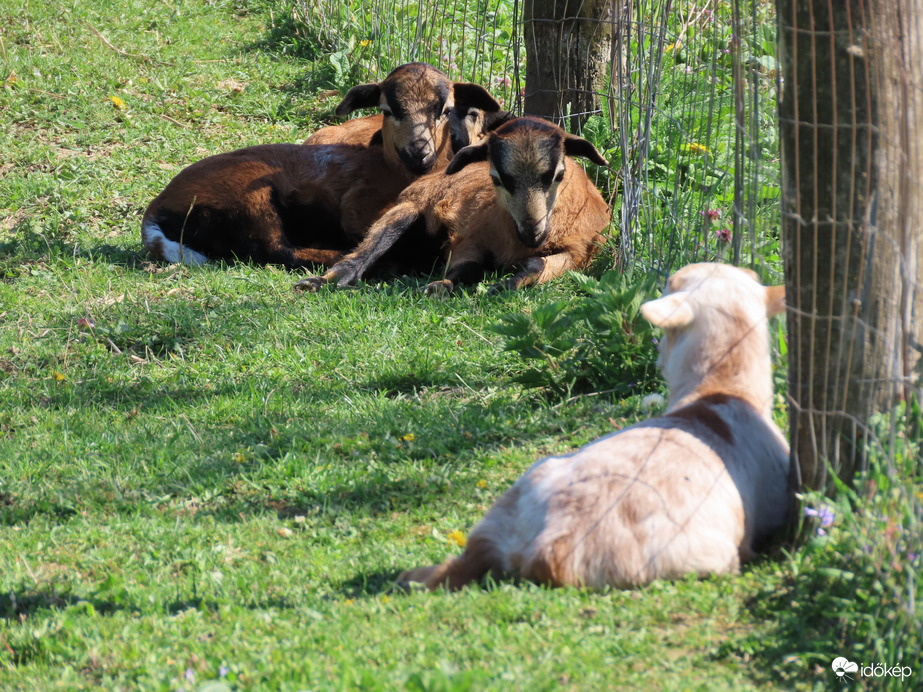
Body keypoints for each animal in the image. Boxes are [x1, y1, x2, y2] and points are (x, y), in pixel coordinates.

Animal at [143, 62, 506, 268]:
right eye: (387, 109)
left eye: (445, 110)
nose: (419, 150)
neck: (392, 170)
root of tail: (155, 210)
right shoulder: (356, 208)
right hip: (247, 197)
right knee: (277, 250)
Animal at [296, 117, 612, 294]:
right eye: (497, 177)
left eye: (557, 174)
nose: (532, 230)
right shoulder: (469, 236)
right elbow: (467, 268)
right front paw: (439, 287)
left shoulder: (577, 255)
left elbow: (536, 264)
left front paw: (504, 285)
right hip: (407, 208)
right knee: (362, 254)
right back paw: (319, 282)